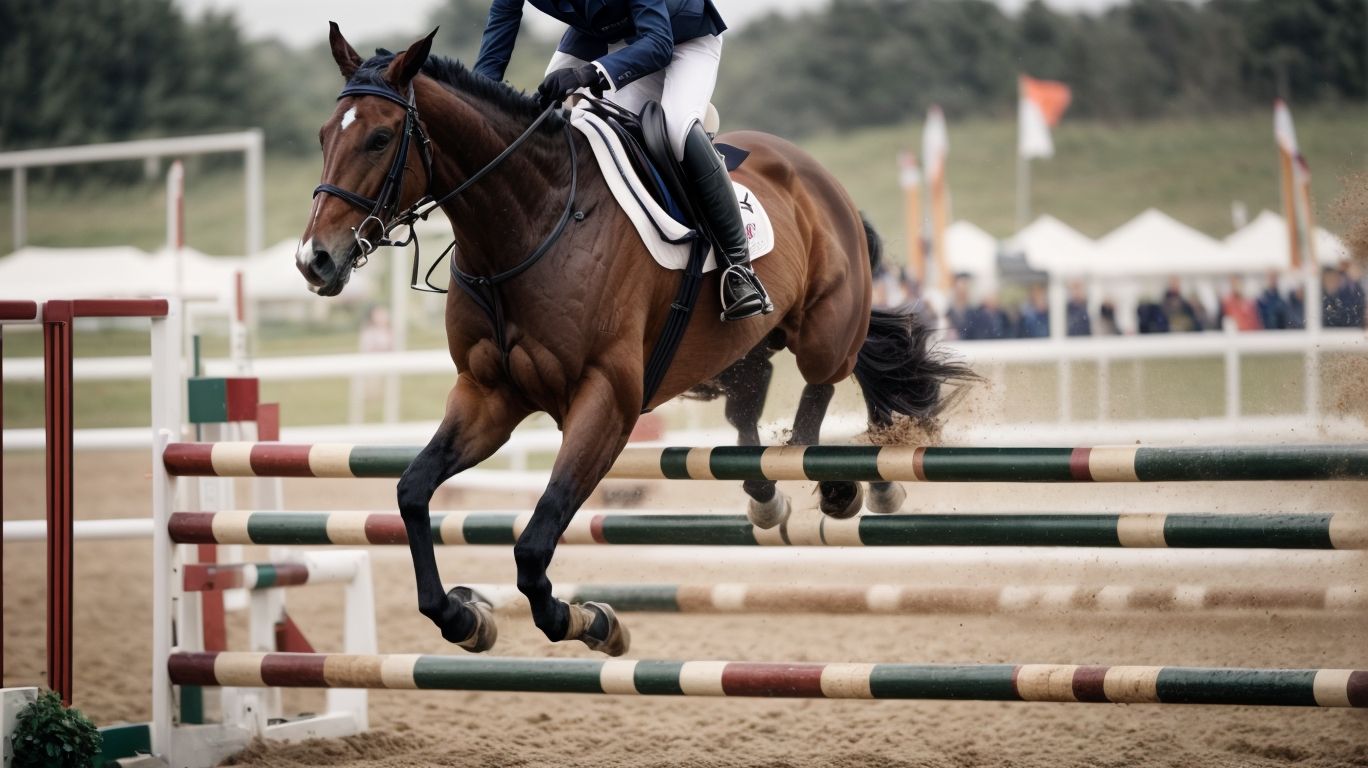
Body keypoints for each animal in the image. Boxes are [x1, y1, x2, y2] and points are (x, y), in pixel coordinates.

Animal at [297, 25, 974, 656]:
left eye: (380, 138)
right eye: (324, 136)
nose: (315, 261)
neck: (527, 226)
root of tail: (813, 172)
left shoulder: (607, 401)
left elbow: (536, 538)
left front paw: (589, 622)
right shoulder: (488, 395)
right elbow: (413, 492)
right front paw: (463, 618)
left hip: (822, 328)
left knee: (831, 377)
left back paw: (847, 482)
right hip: (744, 349)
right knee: (751, 407)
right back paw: (774, 495)